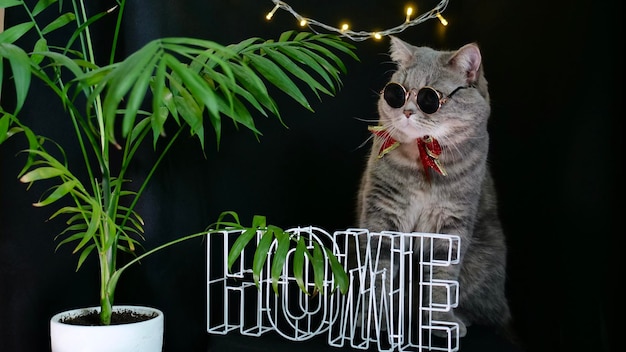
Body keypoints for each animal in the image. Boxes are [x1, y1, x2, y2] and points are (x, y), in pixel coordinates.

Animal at [354, 37, 510, 338]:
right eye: (396, 93)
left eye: (429, 98)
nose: (406, 111)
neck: (422, 161)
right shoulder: (383, 212)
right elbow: (378, 270)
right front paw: (373, 319)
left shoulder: (451, 223)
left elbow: (442, 277)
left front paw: (441, 321)